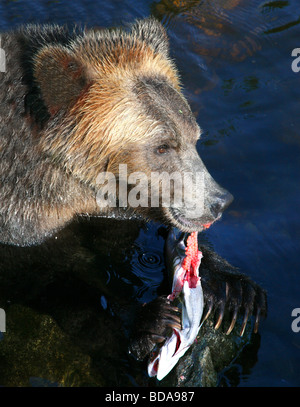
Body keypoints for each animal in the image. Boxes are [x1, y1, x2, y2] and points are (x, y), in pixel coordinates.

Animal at [0, 16, 268, 360]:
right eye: (163, 147)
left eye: (194, 136)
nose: (220, 201)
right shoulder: (23, 218)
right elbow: (57, 278)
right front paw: (149, 321)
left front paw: (235, 292)